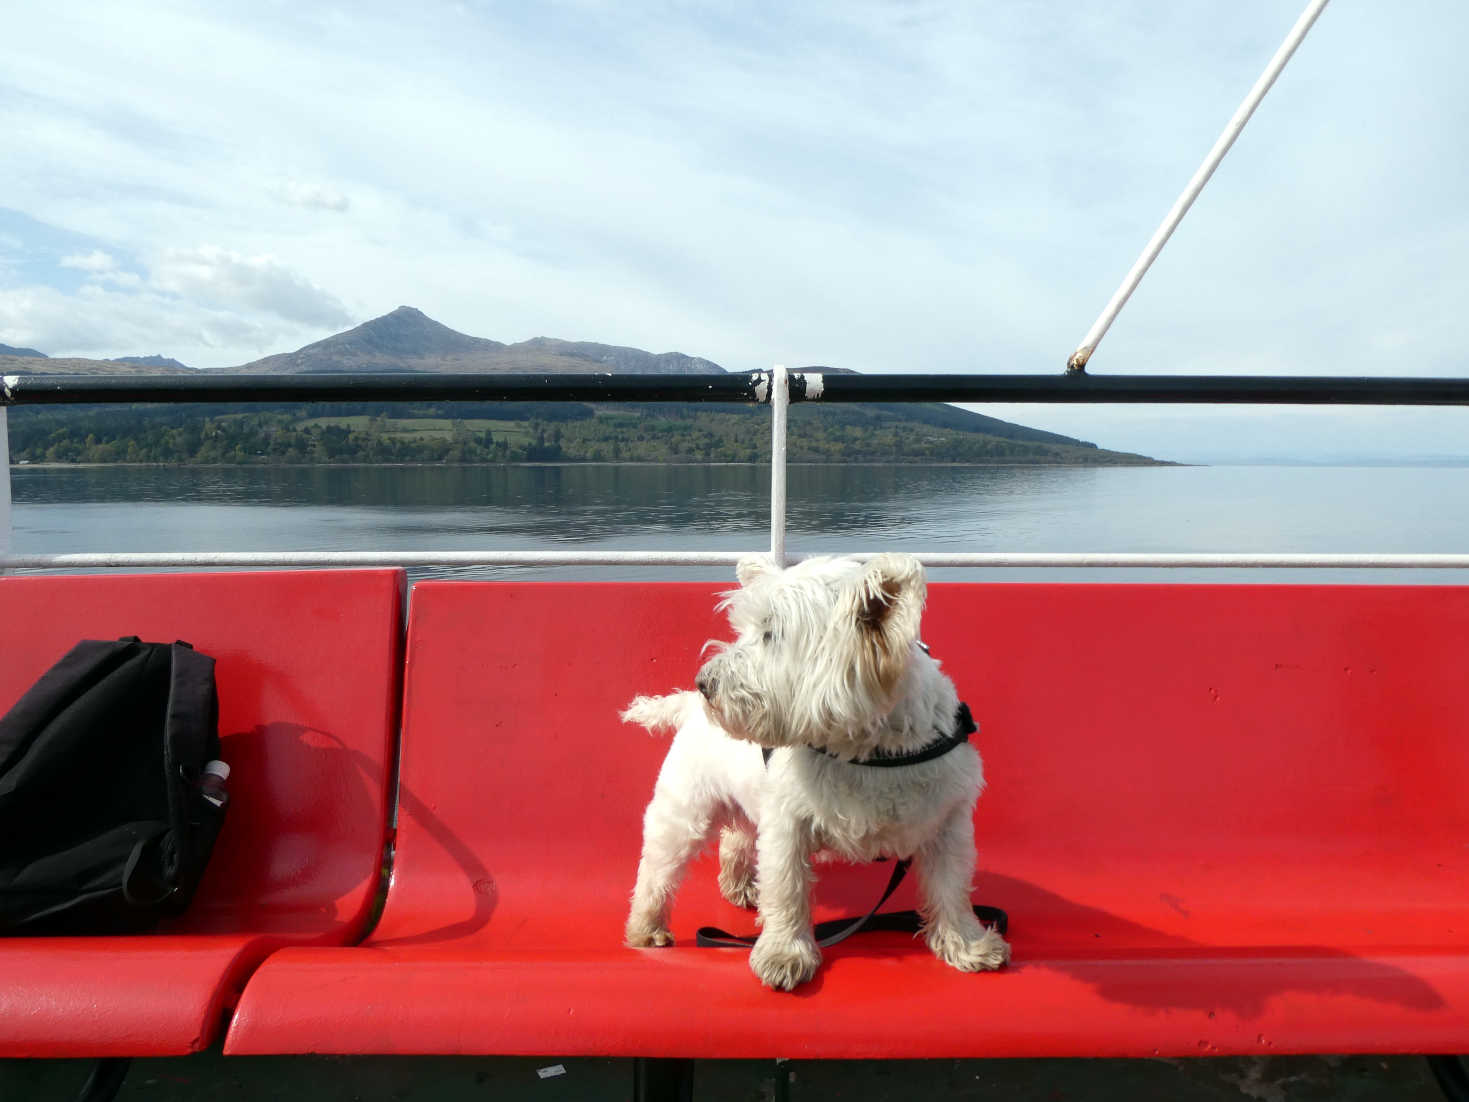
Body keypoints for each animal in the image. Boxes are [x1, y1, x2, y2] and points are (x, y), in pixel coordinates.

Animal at [619, 552, 1010, 993]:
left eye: (771, 633)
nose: (705, 682)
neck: (866, 747)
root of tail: (689, 708)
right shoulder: (787, 822)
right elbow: (787, 887)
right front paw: (784, 954)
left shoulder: (948, 820)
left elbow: (952, 885)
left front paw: (969, 944)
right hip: (686, 805)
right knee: (658, 867)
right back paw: (647, 927)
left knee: (736, 840)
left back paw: (739, 887)